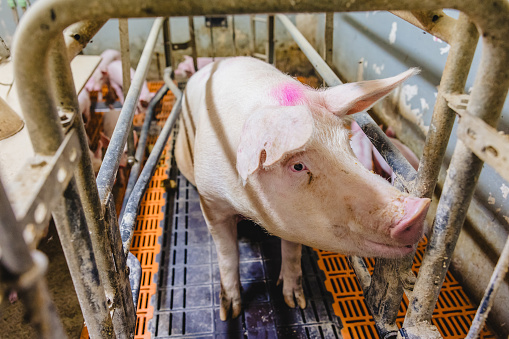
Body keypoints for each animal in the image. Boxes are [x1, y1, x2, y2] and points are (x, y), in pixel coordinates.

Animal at [174, 56, 428, 322]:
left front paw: (296, 302)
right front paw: (229, 312)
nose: (419, 209)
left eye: (346, 142)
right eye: (297, 165)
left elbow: (292, 249)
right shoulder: (210, 201)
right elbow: (227, 254)